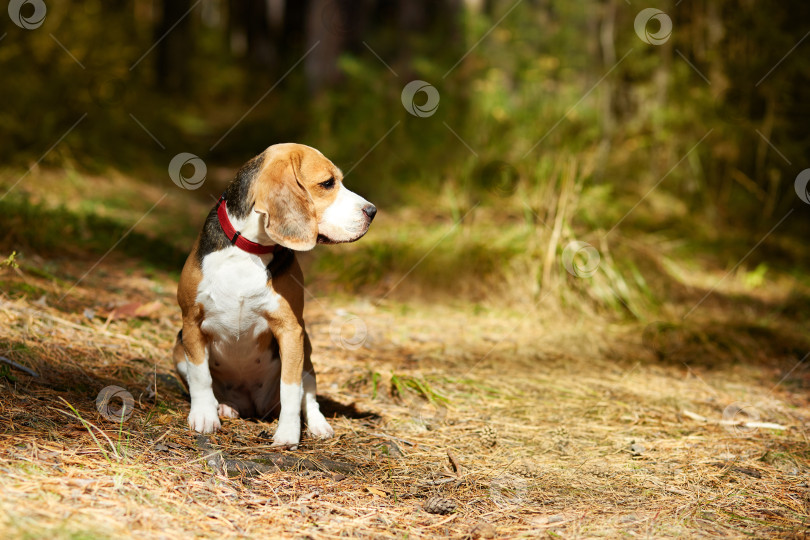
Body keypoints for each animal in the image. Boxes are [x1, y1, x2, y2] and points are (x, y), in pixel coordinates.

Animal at [174, 143, 376, 448]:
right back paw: (223, 407)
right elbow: (200, 376)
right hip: (177, 346)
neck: (250, 250)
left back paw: (318, 425)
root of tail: (252, 406)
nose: (372, 211)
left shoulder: (291, 330)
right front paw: (204, 417)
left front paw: (288, 434)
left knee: (309, 397)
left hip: (307, 351)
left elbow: (291, 389)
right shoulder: (191, 322)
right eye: (327, 183)